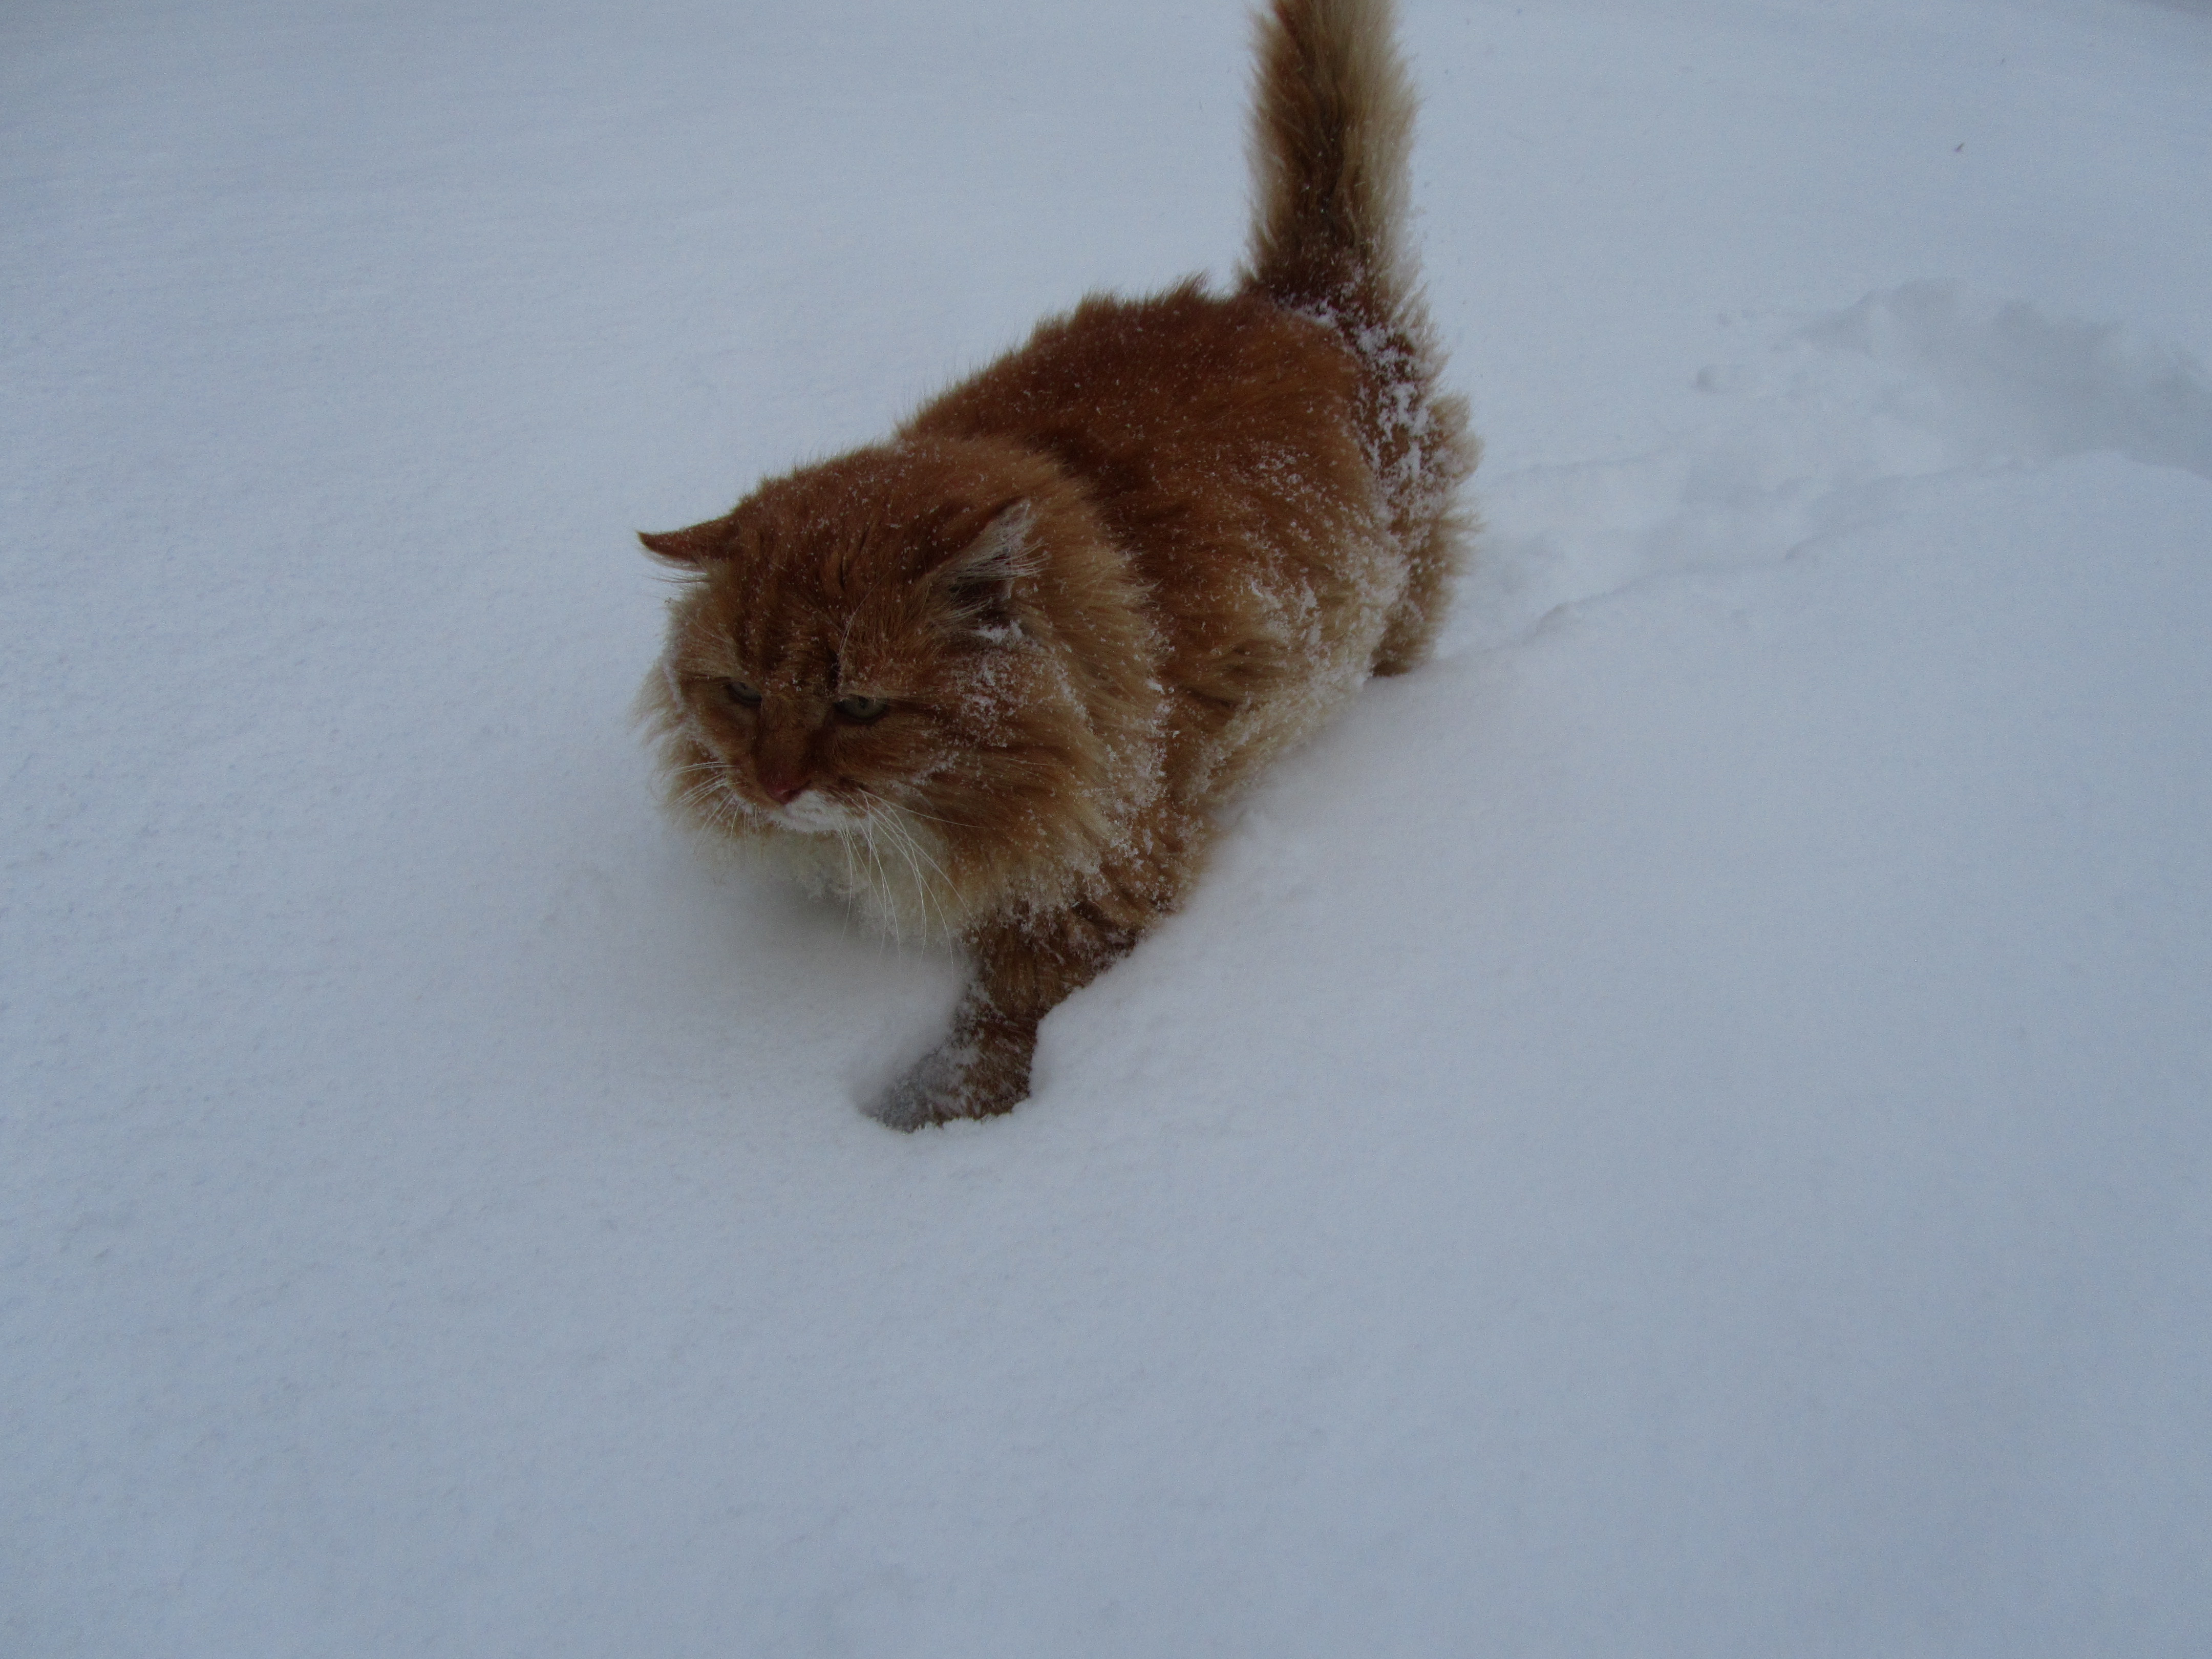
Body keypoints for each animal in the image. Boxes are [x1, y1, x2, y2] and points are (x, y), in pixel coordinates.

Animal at [637, 0, 1469, 1132]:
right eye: (740, 693)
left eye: (859, 706)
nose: (773, 787)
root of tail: (1306, 305)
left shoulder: (1105, 882)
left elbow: (993, 1030)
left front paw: (936, 1128)